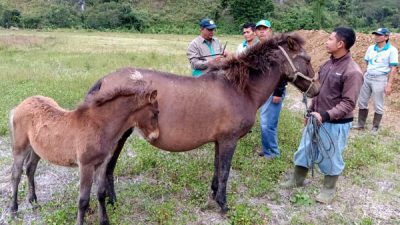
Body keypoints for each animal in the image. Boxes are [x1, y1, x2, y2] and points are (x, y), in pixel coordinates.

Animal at [8, 78, 159, 224]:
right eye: (155, 113)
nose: (155, 136)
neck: (98, 125)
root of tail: (20, 106)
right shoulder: (86, 165)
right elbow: (83, 200)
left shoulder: (102, 164)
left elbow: (101, 193)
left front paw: (104, 221)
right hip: (20, 147)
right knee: (16, 173)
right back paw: (13, 209)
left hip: (37, 149)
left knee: (30, 169)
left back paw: (33, 202)